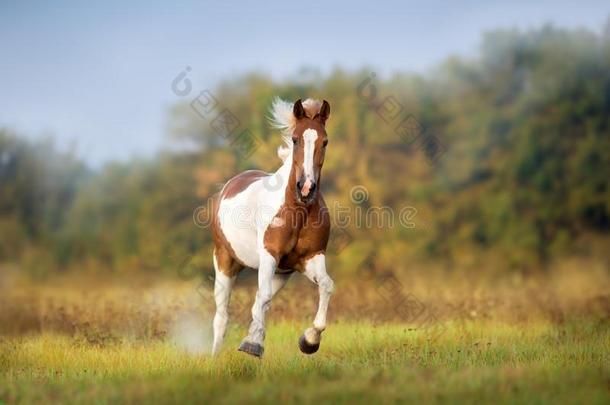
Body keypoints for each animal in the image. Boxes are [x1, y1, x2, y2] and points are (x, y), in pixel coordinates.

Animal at [209, 98, 332, 356]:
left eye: (324, 141)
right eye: (295, 139)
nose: (306, 188)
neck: (298, 211)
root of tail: (227, 186)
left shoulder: (311, 257)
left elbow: (327, 286)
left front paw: (309, 342)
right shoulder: (269, 254)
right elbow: (262, 297)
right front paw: (254, 345)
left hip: (281, 273)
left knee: (258, 301)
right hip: (225, 261)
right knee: (222, 315)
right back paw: (217, 356)